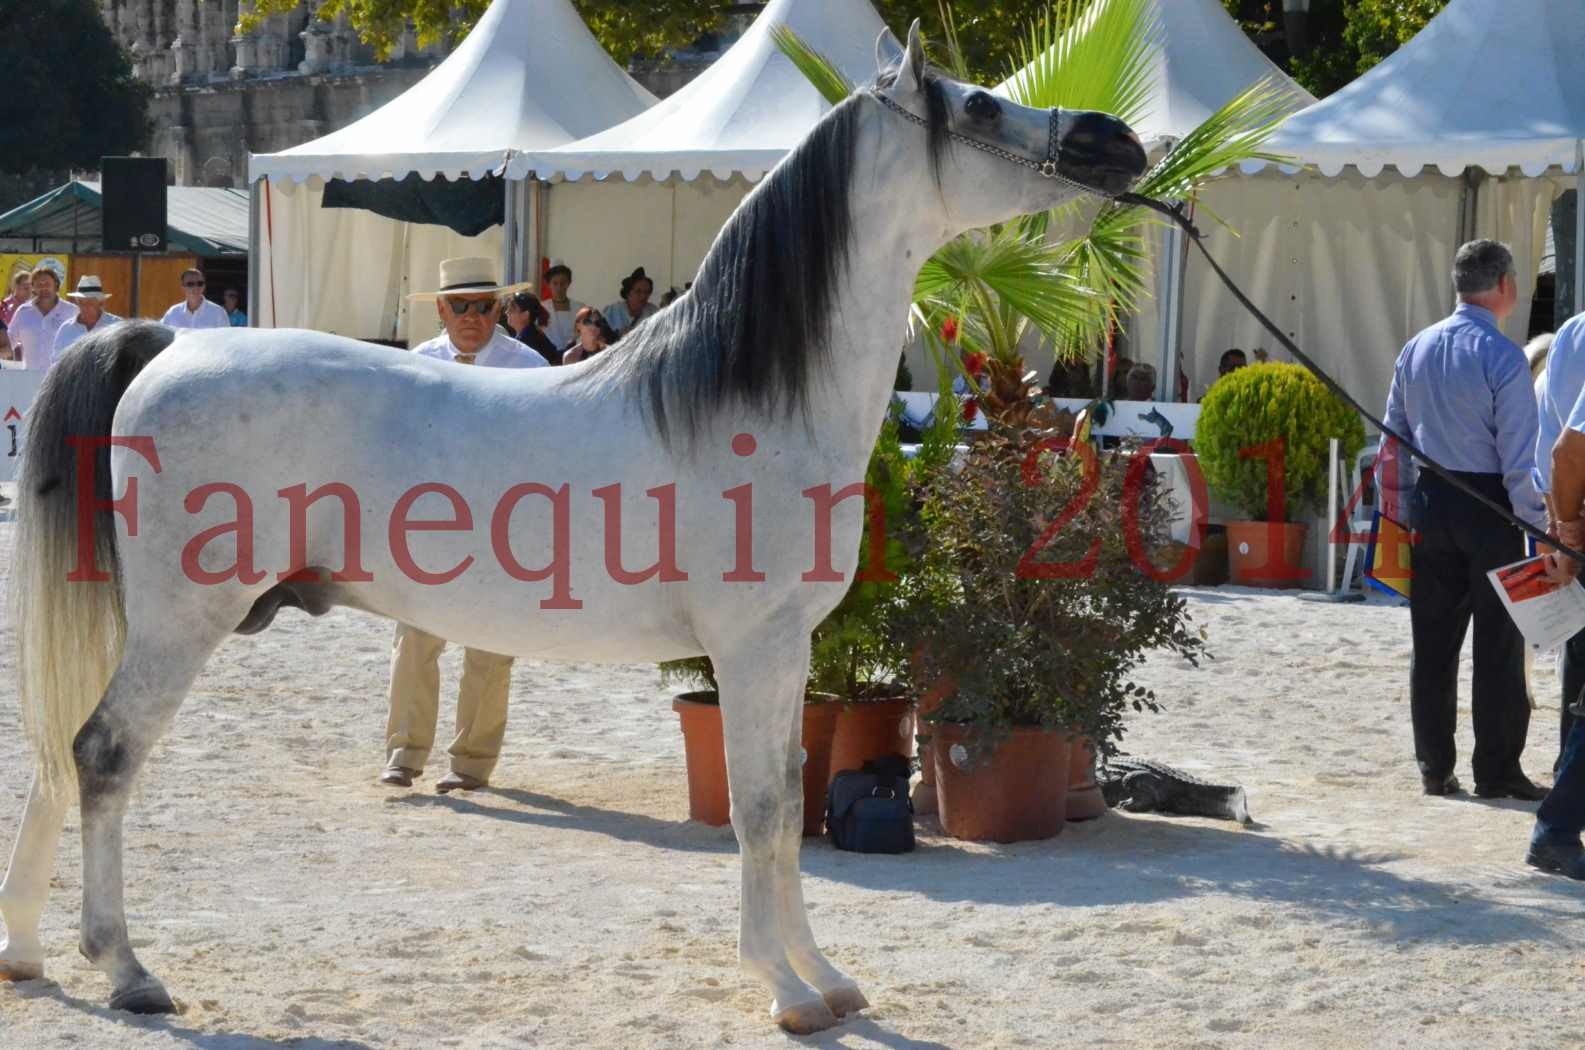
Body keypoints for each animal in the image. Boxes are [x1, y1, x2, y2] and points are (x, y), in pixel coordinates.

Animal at [0, 22, 1141, 1034]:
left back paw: (28, 954)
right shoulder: (754, 647)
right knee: (102, 754)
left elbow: (785, 803)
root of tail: (163, 345)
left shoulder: (786, 653)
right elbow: (762, 811)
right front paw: (784, 988)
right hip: (180, 624)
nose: (1114, 141)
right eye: (979, 104)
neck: (747, 399)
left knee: (60, 754)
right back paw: (126, 970)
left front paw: (824, 978)